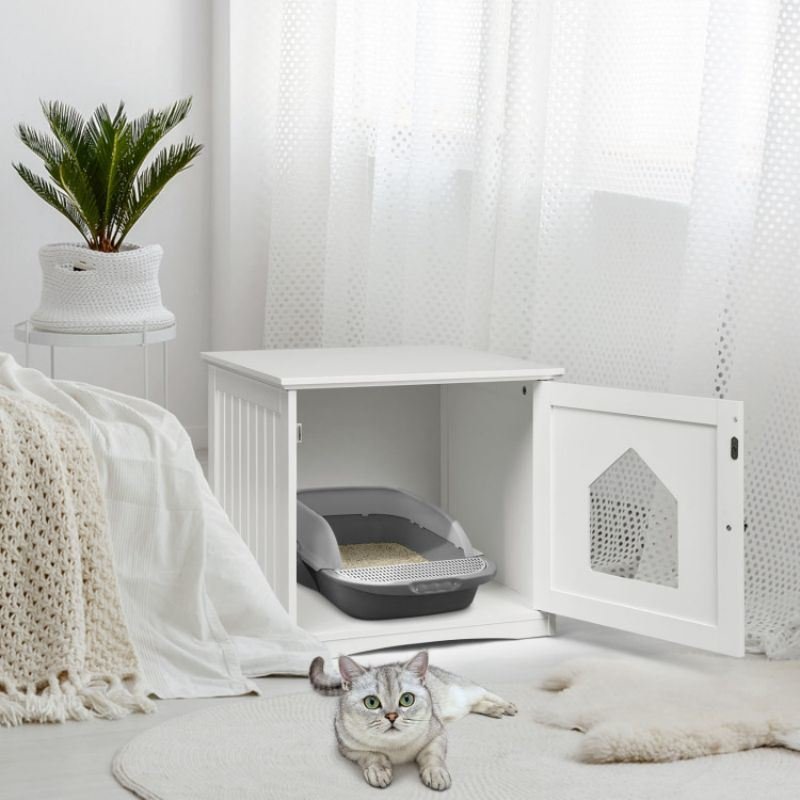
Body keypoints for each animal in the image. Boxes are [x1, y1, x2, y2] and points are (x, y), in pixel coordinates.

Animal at [309, 651, 517, 791]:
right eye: (371, 702)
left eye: (407, 699)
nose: (392, 716)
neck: (396, 748)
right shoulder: (347, 747)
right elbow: (372, 755)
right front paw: (378, 770)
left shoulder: (438, 733)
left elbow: (432, 756)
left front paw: (435, 773)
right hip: (459, 706)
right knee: (475, 705)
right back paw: (494, 710)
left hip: (465, 689)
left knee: (486, 692)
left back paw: (505, 706)